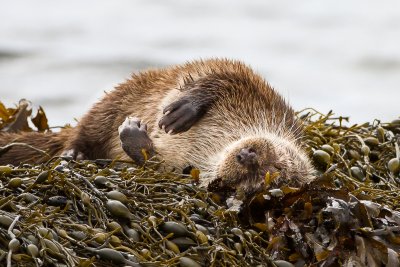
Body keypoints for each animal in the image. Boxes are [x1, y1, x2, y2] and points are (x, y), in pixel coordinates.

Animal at [0, 58, 316, 195]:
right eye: (278, 163)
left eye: (271, 172)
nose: (249, 157)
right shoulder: (255, 90)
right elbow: (219, 77)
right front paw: (181, 111)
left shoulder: (181, 168)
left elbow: (152, 162)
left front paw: (135, 137)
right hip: (117, 98)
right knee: (84, 129)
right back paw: (72, 154)